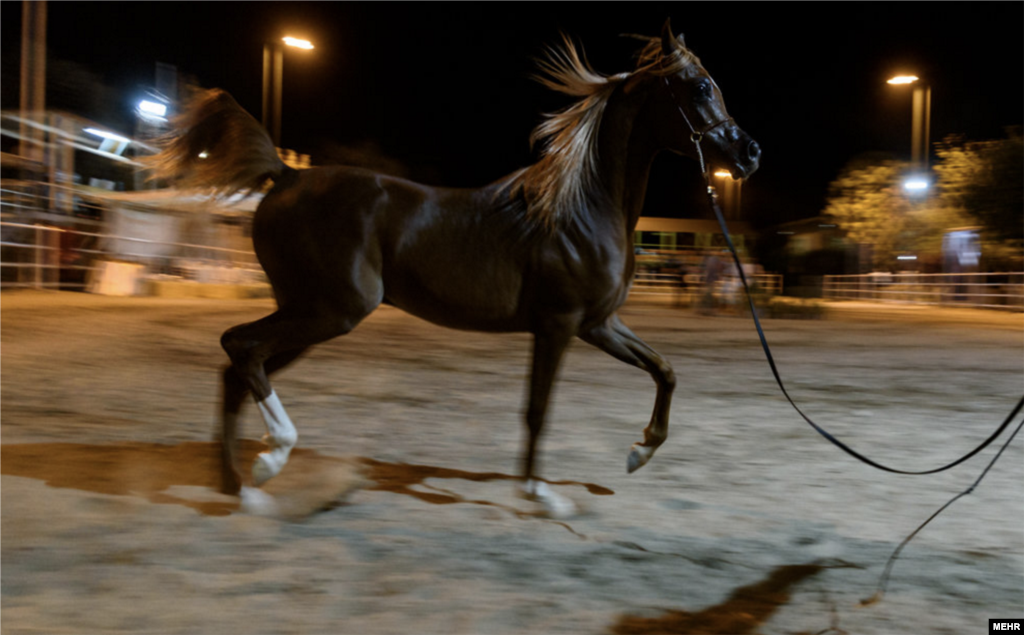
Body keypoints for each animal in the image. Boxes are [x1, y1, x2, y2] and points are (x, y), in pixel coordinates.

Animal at [153, 22, 761, 518]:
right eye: (700, 86)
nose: (749, 153)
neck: (580, 210)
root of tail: (285, 176)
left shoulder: (598, 324)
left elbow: (665, 370)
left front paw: (639, 452)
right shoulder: (558, 325)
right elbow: (538, 409)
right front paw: (541, 495)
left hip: (308, 313)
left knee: (237, 368)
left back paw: (239, 487)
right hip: (330, 311)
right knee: (241, 347)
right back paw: (269, 461)